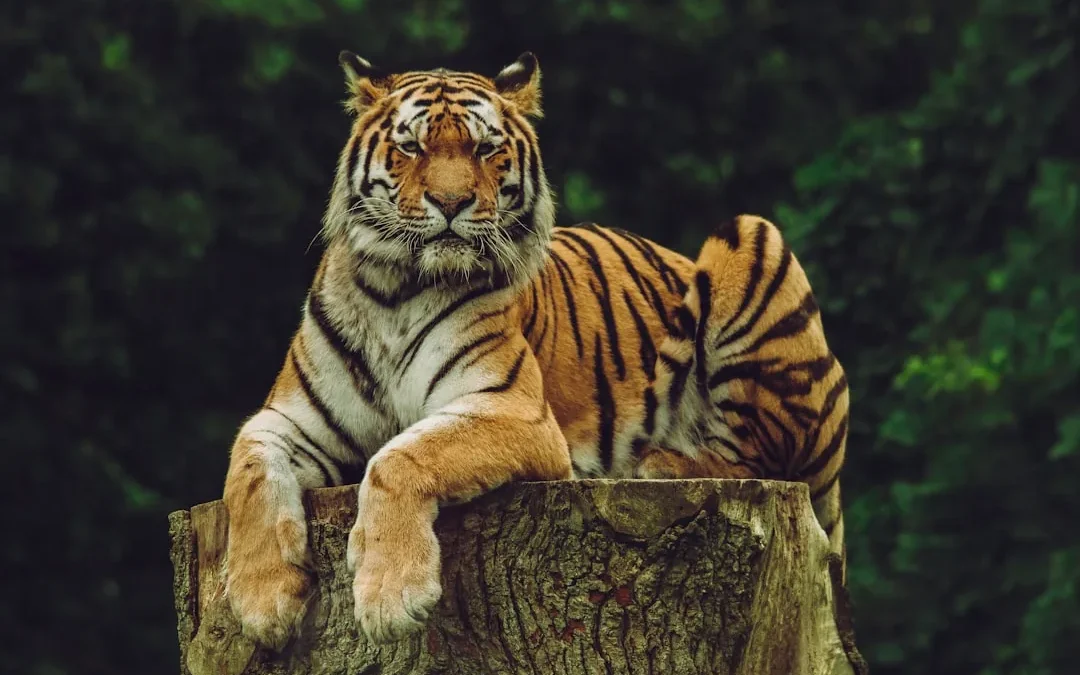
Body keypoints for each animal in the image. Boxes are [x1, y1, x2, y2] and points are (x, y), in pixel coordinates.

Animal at [222, 51, 849, 649]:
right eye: (411, 146)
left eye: (484, 148)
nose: (451, 202)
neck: (395, 292)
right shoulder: (290, 419)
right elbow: (247, 474)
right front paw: (262, 603)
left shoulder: (512, 409)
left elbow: (399, 456)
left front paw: (391, 598)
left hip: (751, 237)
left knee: (762, 457)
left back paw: (660, 462)